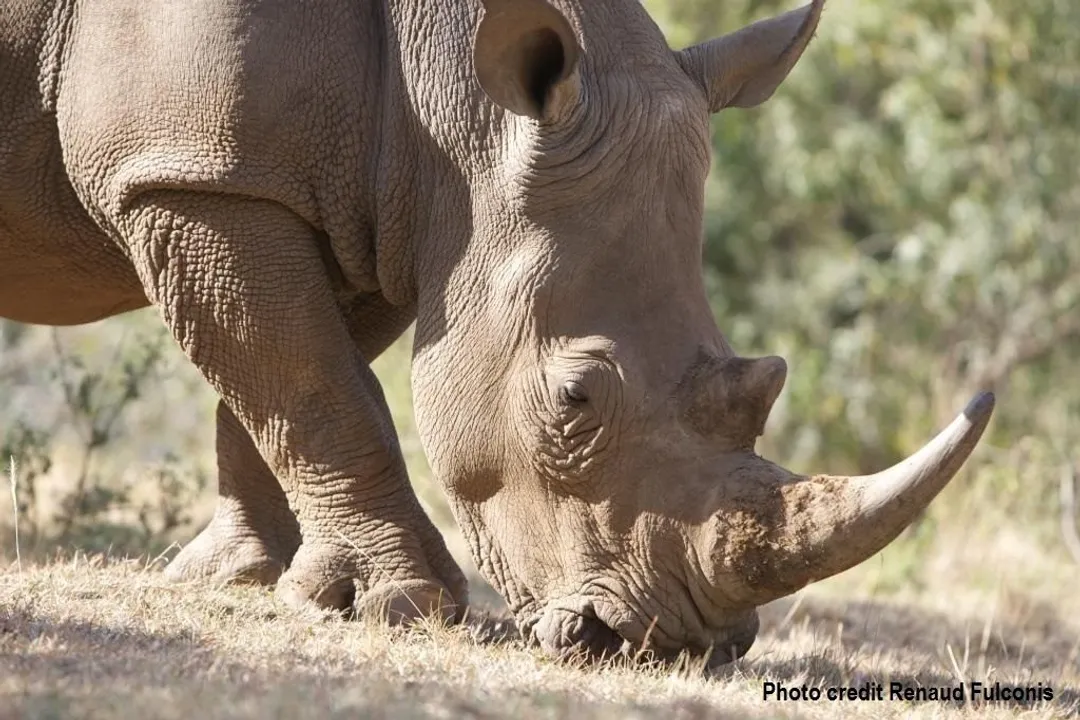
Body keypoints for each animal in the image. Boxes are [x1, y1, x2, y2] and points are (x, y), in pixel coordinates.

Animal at [0, 0, 994, 664]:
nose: (676, 644)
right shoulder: (188, 176)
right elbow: (312, 384)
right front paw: (403, 603)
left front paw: (248, 581)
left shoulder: (363, 200)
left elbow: (283, 385)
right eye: (574, 399)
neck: (452, 110)